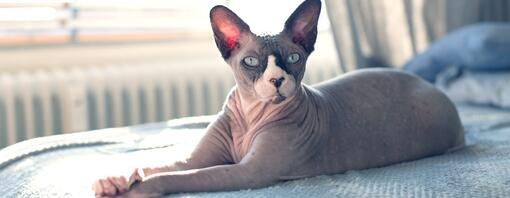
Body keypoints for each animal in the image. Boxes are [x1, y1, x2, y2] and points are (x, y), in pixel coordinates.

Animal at [92, 0, 466, 197]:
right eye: (251, 62)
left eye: (294, 58)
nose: (276, 80)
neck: (249, 116)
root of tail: (431, 85)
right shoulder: (198, 158)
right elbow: (162, 164)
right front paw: (116, 179)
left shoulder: (249, 173)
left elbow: (176, 177)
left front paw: (136, 189)